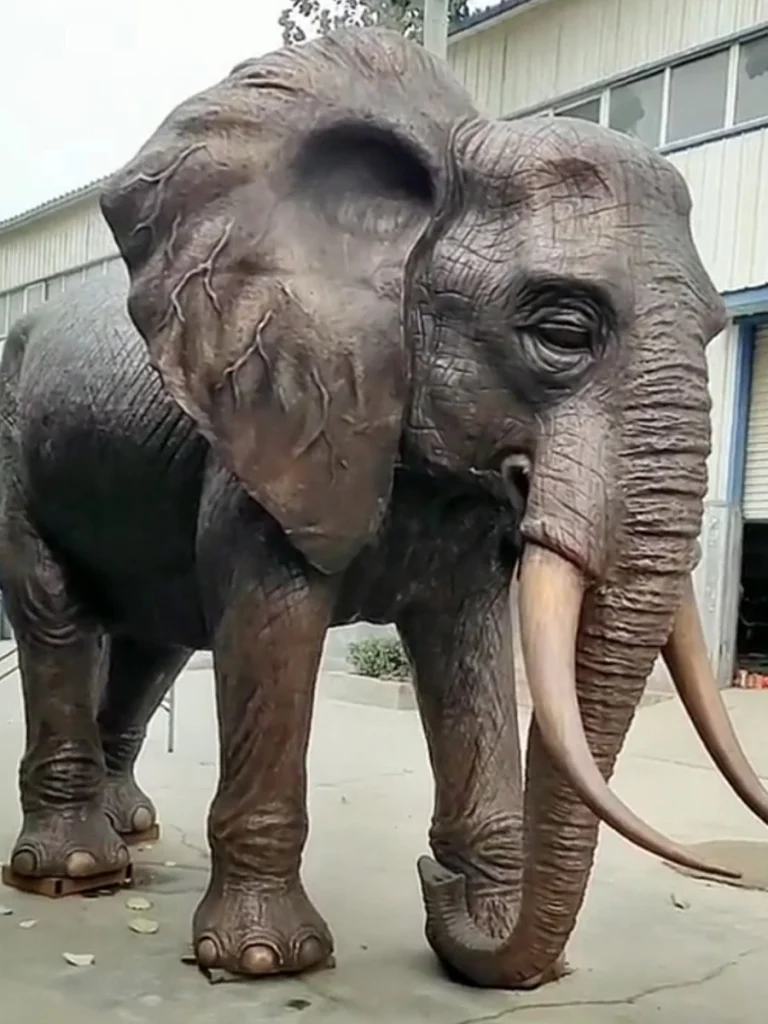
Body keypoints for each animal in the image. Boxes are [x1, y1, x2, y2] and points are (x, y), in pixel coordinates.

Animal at [2, 26, 768, 990]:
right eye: (563, 332)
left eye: (715, 331)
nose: (431, 878)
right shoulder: (270, 430)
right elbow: (272, 623)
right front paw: (266, 961)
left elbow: (468, 639)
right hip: (14, 451)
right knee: (57, 613)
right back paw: (76, 869)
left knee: (157, 644)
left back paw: (130, 828)